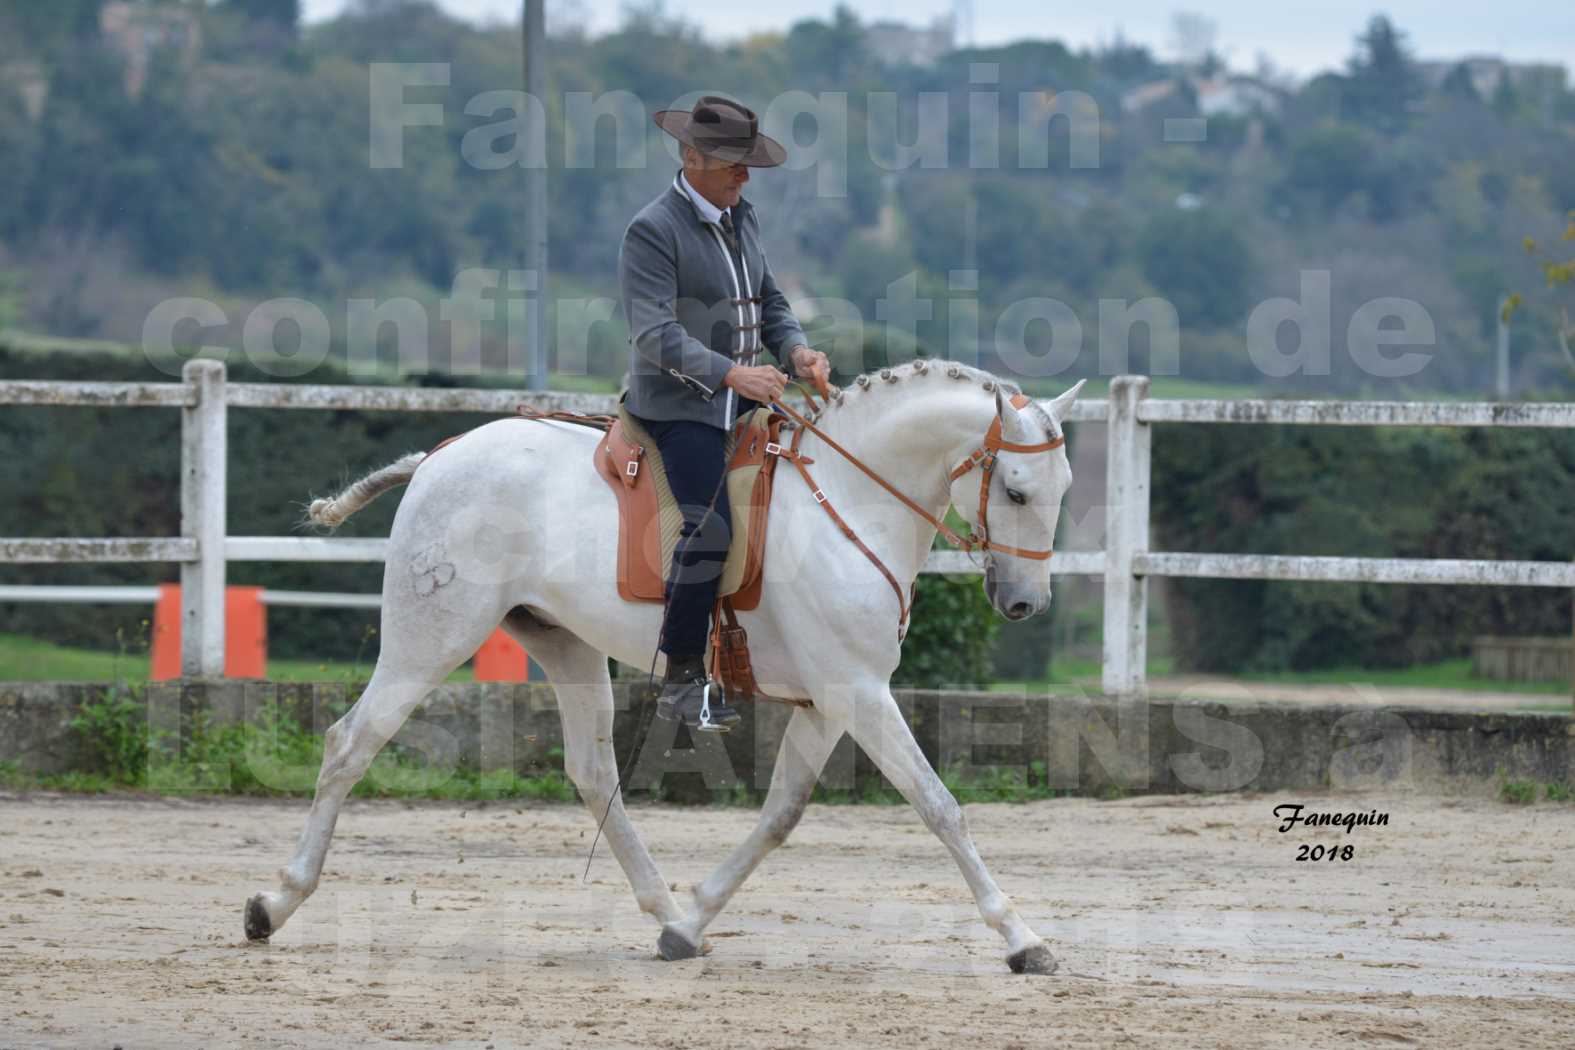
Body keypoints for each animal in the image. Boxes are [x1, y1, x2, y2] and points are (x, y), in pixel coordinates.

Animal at [245, 362, 1083, 976]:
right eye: (1015, 491)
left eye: (1063, 490)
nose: (1025, 603)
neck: (845, 504)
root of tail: (441, 457)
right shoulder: (858, 692)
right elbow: (939, 806)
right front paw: (1022, 939)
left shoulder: (827, 702)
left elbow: (780, 815)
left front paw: (693, 919)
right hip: (433, 638)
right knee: (350, 744)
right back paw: (274, 903)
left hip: (565, 645)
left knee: (591, 773)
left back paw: (664, 911)